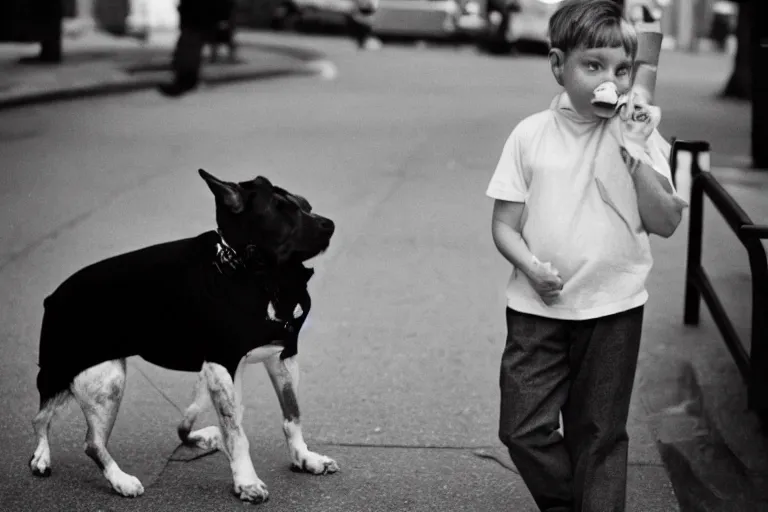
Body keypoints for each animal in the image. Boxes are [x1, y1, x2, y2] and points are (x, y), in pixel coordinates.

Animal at [30, 169, 336, 504]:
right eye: (281, 209)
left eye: (305, 206)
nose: (330, 225)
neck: (252, 271)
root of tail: (52, 299)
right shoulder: (221, 364)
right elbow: (237, 433)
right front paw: (246, 481)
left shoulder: (280, 356)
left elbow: (292, 415)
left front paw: (304, 458)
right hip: (104, 380)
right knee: (88, 441)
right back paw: (117, 479)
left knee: (42, 417)